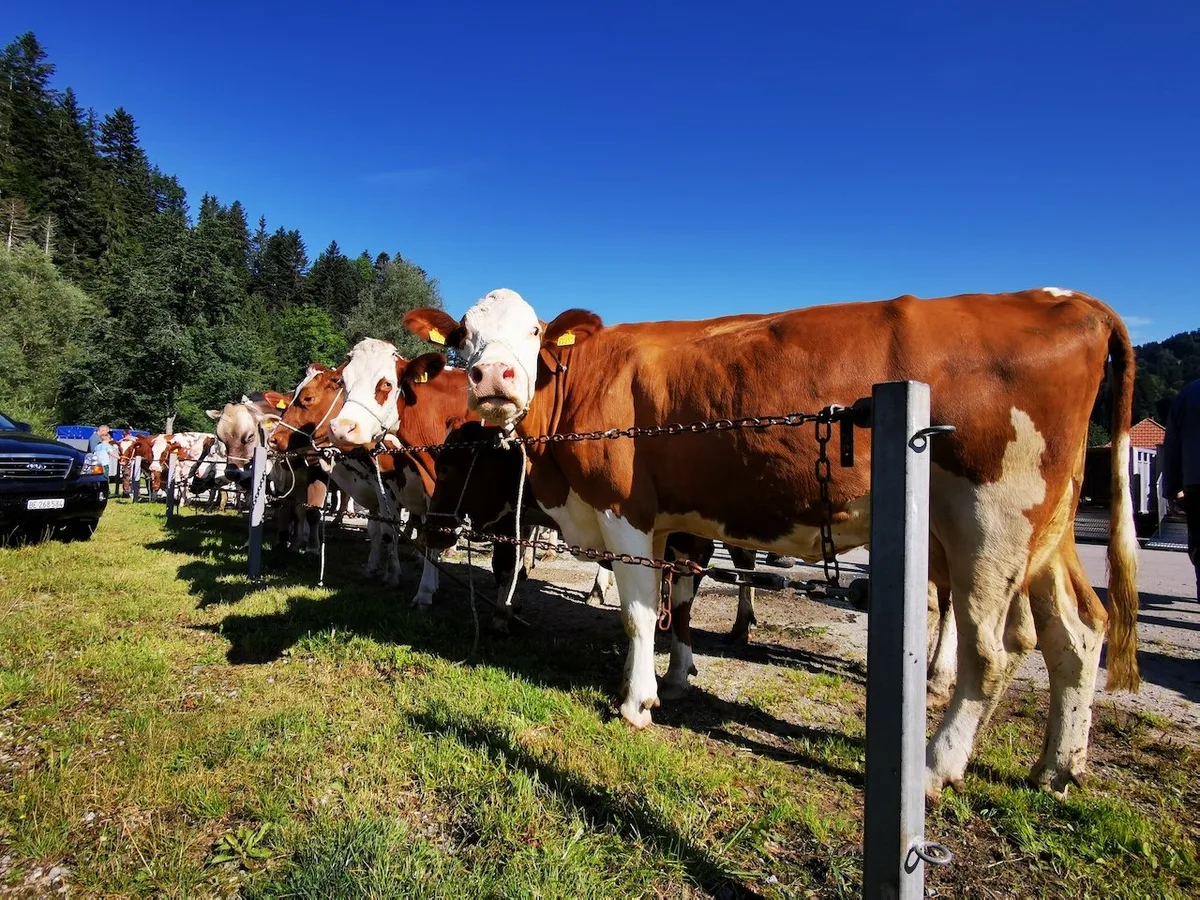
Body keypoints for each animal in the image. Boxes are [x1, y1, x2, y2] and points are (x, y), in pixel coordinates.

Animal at [401, 286, 1140, 801]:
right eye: (466, 336)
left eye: (532, 333)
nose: (493, 379)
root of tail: (1064, 299)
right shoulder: (677, 523)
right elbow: (677, 605)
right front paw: (675, 678)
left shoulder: (626, 512)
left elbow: (638, 615)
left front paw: (636, 702)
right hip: (1048, 527)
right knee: (1077, 634)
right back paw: (1057, 768)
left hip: (992, 518)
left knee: (993, 650)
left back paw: (935, 767)